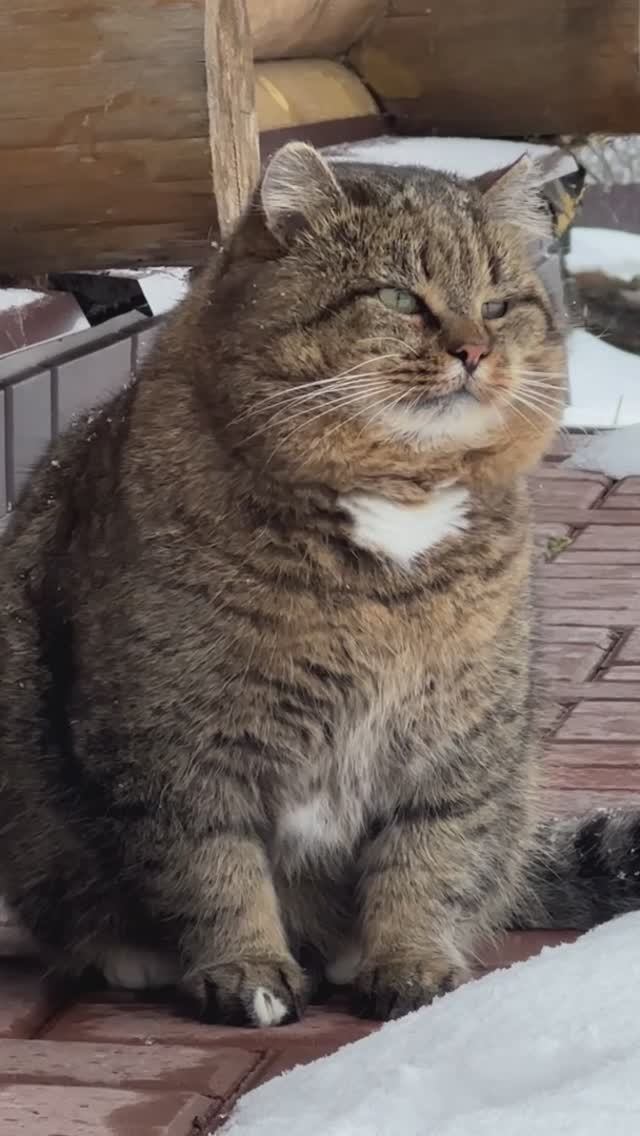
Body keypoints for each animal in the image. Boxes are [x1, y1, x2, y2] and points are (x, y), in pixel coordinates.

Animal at [2, 144, 636, 1031]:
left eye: (499, 304)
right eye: (400, 297)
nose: (475, 350)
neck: (395, 512)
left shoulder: (458, 742)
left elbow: (429, 857)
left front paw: (407, 961)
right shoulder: (176, 749)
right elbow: (212, 868)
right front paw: (245, 969)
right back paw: (134, 954)